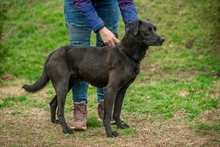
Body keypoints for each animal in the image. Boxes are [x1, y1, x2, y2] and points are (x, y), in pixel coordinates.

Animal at [22, 19, 163, 137]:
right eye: (147, 31)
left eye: (155, 28)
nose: (163, 39)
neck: (127, 53)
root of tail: (54, 52)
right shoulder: (111, 89)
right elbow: (108, 115)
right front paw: (110, 133)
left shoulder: (122, 90)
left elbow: (117, 111)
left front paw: (120, 126)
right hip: (62, 85)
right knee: (60, 111)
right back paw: (66, 130)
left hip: (67, 84)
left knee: (52, 103)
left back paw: (55, 122)